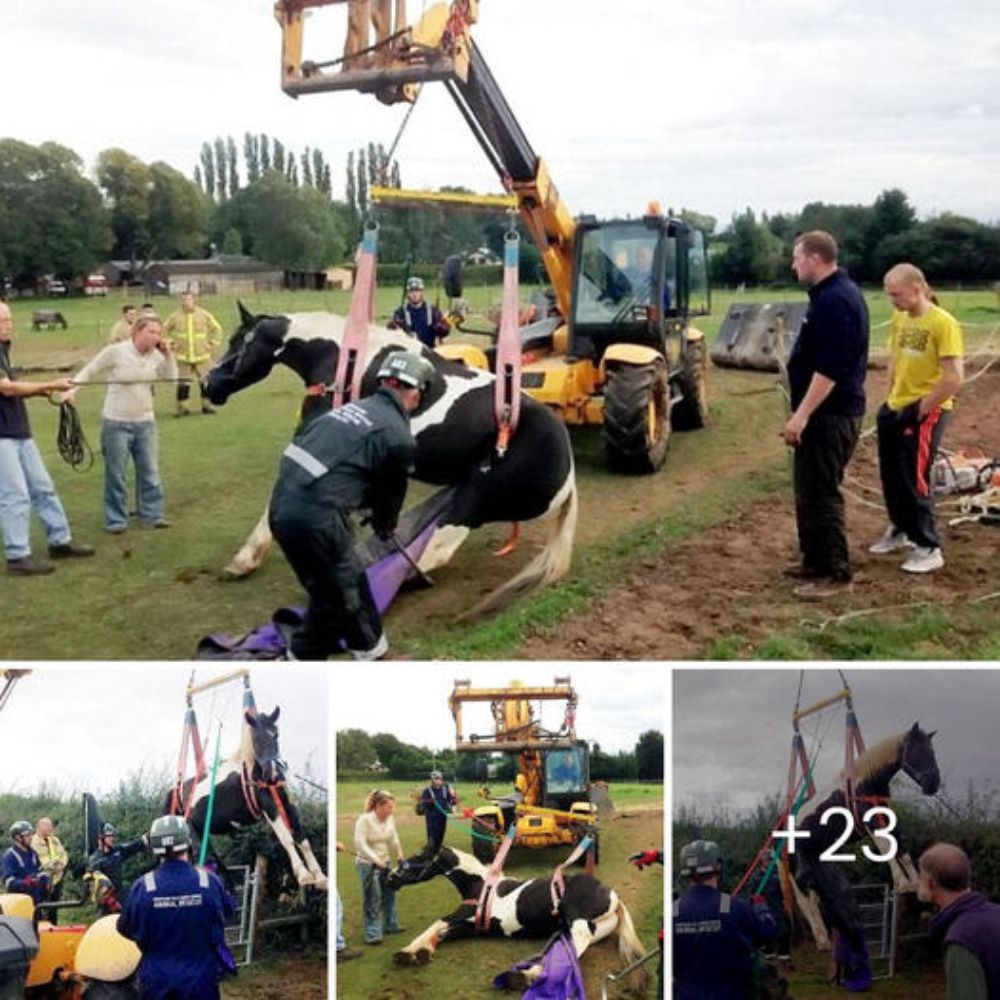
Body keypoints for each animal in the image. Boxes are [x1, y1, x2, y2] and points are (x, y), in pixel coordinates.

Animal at [164, 704, 326, 892]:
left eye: (276, 734)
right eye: (256, 739)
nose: (272, 773)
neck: (255, 771)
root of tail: (177, 790)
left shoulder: (288, 803)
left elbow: (302, 839)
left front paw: (319, 877)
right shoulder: (268, 806)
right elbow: (287, 838)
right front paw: (304, 875)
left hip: (201, 831)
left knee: (214, 860)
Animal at [203, 306, 580, 616]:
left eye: (237, 342)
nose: (208, 385)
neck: (346, 362)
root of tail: (569, 477)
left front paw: (244, 560)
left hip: (475, 501)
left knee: (438, 548)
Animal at [378, 844, 644, 984]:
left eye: (417, 857)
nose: (389, 878)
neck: (480, 885)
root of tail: (613, 897)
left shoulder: (463, 915)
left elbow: (437, 924)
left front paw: (407, 952)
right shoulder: (471, 926)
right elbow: (443, 932)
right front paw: (422, 951)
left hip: (576, 919)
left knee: (578, 942)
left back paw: (529, 975)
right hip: (578, 928)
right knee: (569, 946)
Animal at [788, 720, 936, 960]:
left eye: (932, 751)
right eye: (918, 750)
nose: (933, 784)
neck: (865, 781)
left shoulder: (887, 815)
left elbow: (901, 848)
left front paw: (916, 885)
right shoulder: (869, 818)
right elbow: (886, 847)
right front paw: (902, 883)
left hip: (819, 863)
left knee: (817, 897)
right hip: (799, 868)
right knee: (806, 898)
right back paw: (822, 940)